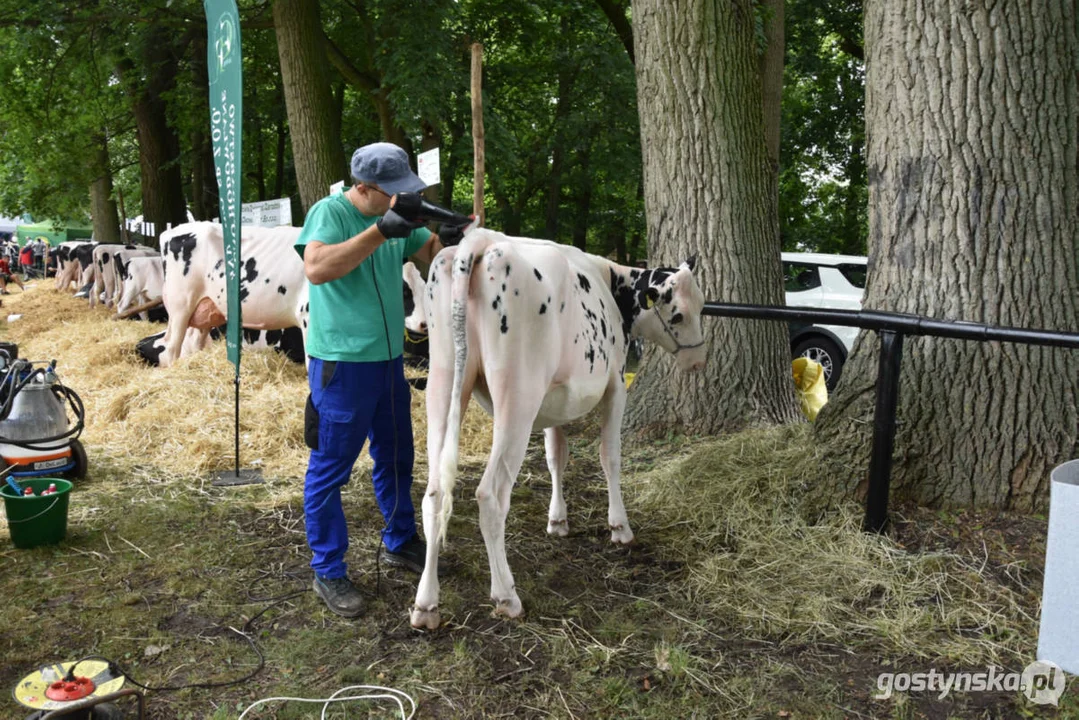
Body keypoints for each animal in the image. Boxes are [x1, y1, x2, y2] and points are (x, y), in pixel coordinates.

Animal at [407, 227, 703, 626]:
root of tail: (481, 242)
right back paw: (506, 596)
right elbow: (610, 457)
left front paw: (558, 521)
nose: (698, 361)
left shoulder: (552, 403)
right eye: (679, 315)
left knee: (435, 493)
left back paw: (426, 604)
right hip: (518, 395)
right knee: (490, 495)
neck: (610, 281)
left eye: (703, 305)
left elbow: (555, 457)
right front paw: (620, 527)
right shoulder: (615, 386)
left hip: (444, 379)